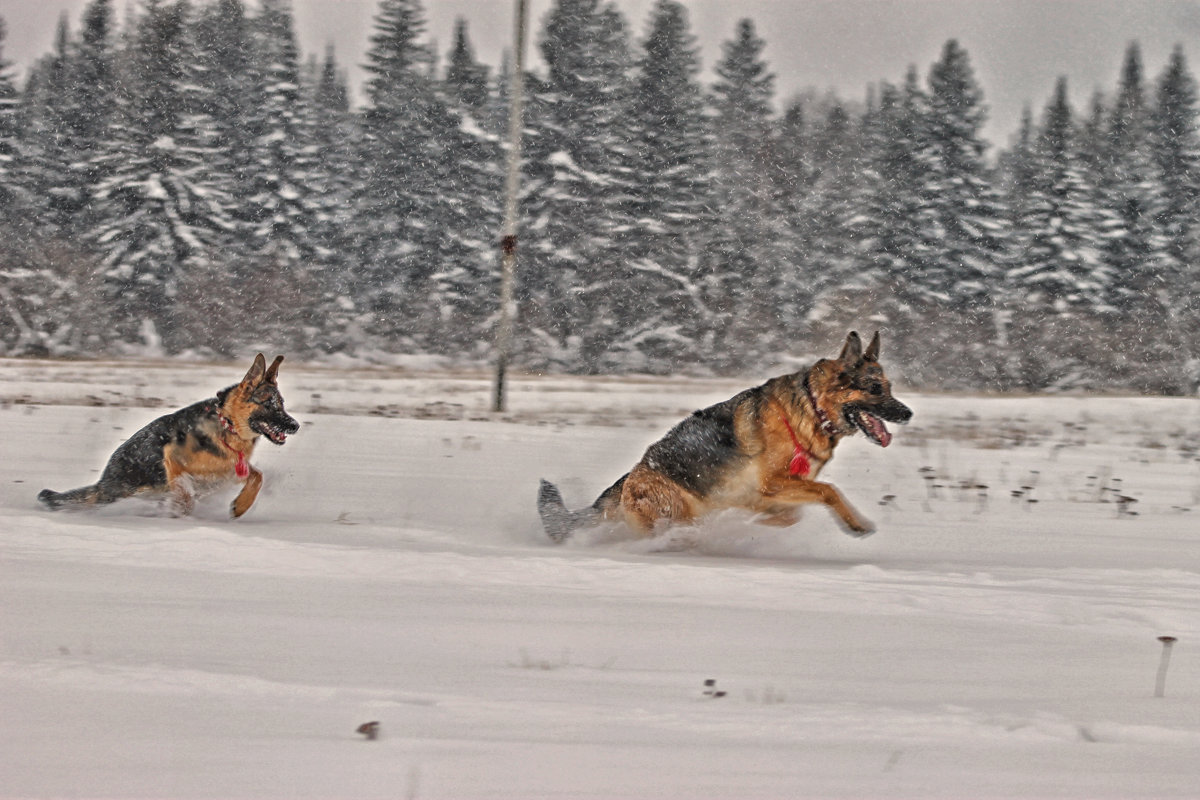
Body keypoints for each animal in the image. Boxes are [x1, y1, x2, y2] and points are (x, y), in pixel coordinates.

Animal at [540, 331, 912, 544]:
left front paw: (762, 519)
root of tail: (629, 477)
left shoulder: (773, 491)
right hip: (676, 513)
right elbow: (829, 490)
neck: (812, 408)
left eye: (889, 387)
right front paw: (856, 524)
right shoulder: (775, 482)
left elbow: (792, 513)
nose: (908, 413)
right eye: (874, 388)